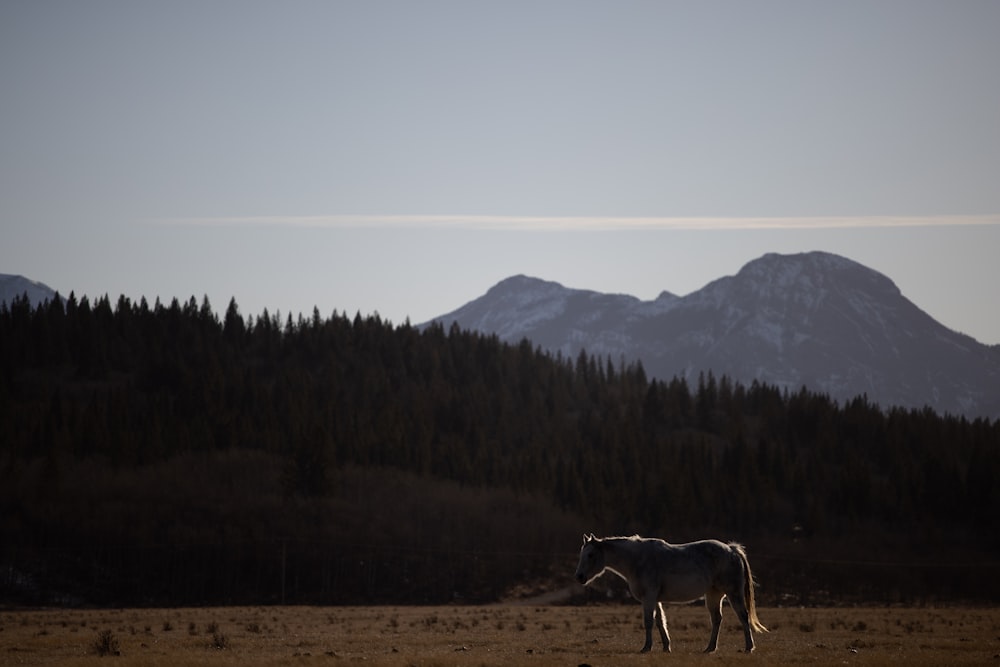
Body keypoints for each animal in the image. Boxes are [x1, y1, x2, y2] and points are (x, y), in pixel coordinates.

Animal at [576, 536, 768, 656]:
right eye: (582, 554)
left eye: (590, 555)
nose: (579, 577)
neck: (637, 559)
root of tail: (732, 550)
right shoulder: (655, 599)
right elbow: (660, 622)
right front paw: (666, 647)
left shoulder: (649, 597)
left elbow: (648, 622)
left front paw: (646, 647)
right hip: (713, 595)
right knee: (717, 620)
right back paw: (710, 648)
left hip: (733, 593)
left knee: (743, 617)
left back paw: (749, 647)